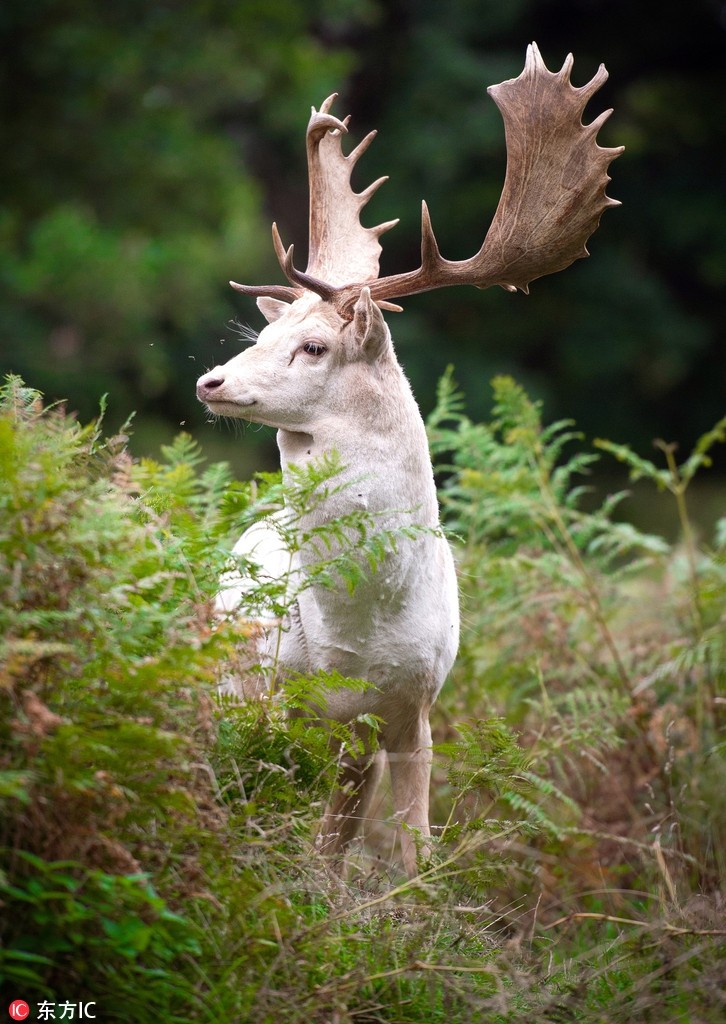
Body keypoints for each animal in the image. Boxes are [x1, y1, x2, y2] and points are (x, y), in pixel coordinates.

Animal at [198, 46, 622, 880]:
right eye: (263, 336)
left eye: (313, 345)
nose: (211, 382)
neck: (358, 635)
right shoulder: (277, 694)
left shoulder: (414, 705)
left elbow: (415, 850)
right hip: (232, 680)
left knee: (338, 824)